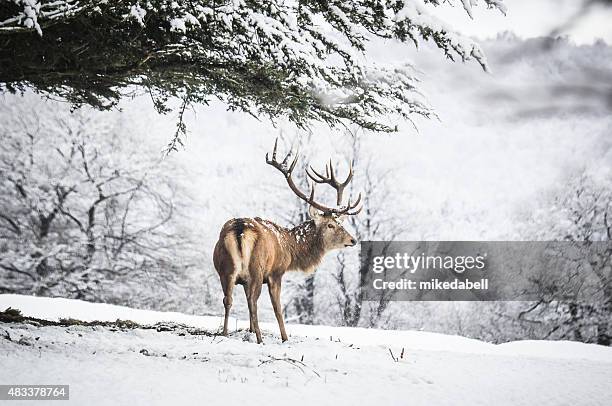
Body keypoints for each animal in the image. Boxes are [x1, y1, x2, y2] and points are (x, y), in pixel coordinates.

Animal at [213, 139, 360, 342]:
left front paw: (249, 331)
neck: (290, 248)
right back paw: (260, 339)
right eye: (331, 225)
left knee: (228, 299)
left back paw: (225, 333)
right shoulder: (276, 272)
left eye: (340, 222)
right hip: (256, 269)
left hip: (225, 269)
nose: (353, 240)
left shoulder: (242, 280)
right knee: (253, 301)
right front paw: (284, 337)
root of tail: (240, 229)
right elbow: (277, 308)